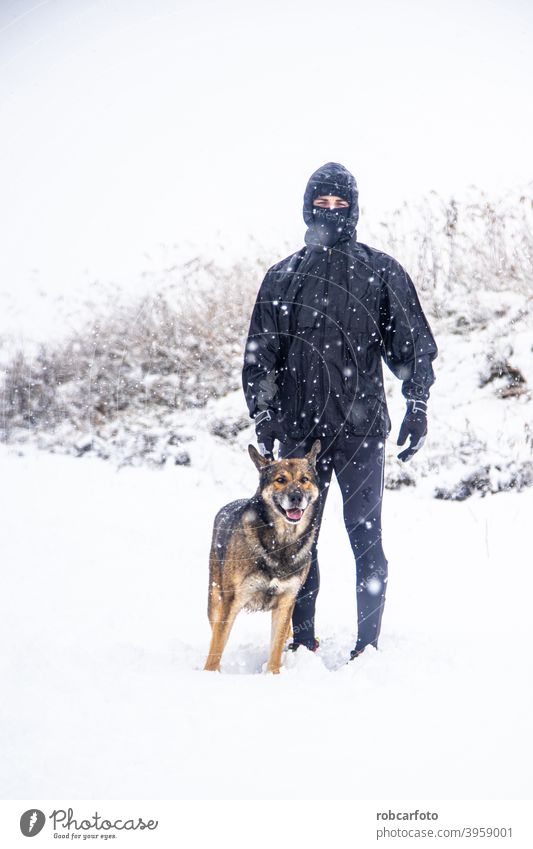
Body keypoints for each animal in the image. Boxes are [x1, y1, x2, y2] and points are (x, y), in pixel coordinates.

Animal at [204, 440, 320, 672]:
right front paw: (209, 674)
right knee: (215, 631)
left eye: (304, 480)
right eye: (280, 480)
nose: (296, 497)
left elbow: (275, 647)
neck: (281, 543)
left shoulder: (286, 601)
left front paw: (272, 674)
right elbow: (217, 646)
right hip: (215, 599)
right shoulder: (231, 601)